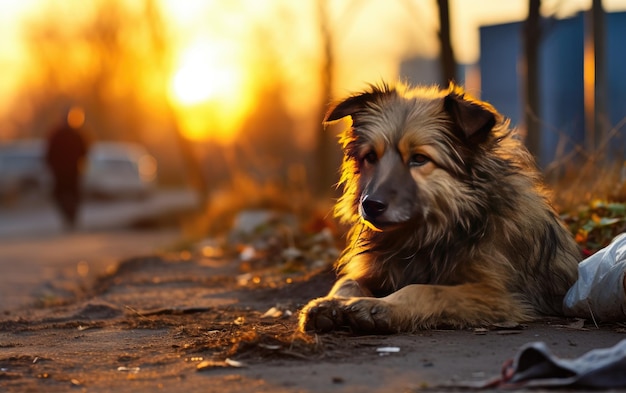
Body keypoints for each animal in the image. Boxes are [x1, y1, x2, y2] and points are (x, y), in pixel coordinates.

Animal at [298, 82, 580, 334]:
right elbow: (347, 281)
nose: (370, 205)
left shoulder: (498, 294)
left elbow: (425, 289)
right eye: (370, 157)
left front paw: (379, 307)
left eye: (419, 159)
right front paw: (329, 303)